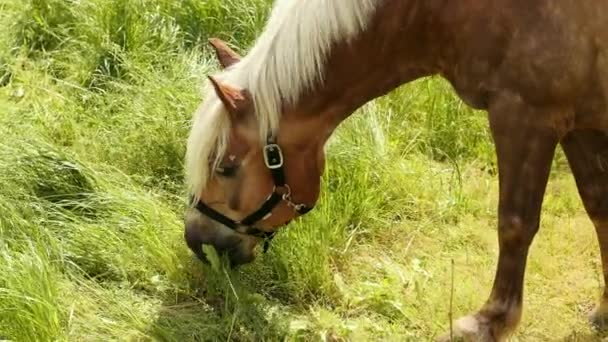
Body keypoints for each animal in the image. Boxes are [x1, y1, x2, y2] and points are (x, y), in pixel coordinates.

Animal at [183, 1, 608, 340]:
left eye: (226, 166)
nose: (197, 241)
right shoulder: (579, 124)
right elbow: (598, 209)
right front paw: (605, 310)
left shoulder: (526, 116)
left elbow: (515, 225)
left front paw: (487, 324)